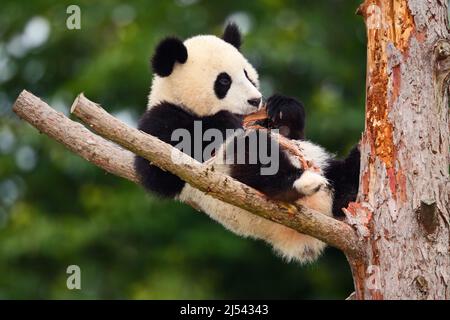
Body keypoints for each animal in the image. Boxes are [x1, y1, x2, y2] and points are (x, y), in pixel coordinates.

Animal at [134, 23, 358, 264]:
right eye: (224, 81)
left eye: (247, 75)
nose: (255, 100)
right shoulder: (161, 117)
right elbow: (159, 170)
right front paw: (223, 121)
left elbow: (292, 133)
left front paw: (284, 108)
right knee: (255, 155)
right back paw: (298, 183)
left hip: (323, 164)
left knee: (342, 173)